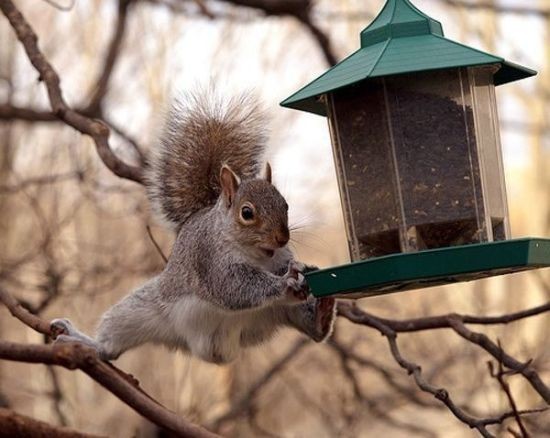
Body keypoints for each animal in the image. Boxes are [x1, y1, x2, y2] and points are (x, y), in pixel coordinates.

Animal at [51, 91, 336, 362]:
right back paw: (82, 341)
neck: (256, 253)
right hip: (141, 310)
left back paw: (323, 310)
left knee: (314, 331)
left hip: (281, 311)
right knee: (110, 345)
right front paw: (285, 281)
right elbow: (233, 286)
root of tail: (213, 350)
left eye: (285, 205)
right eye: (246, 213)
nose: (281, 238)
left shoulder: (279, 257)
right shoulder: (209, 259)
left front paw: (300, 268)